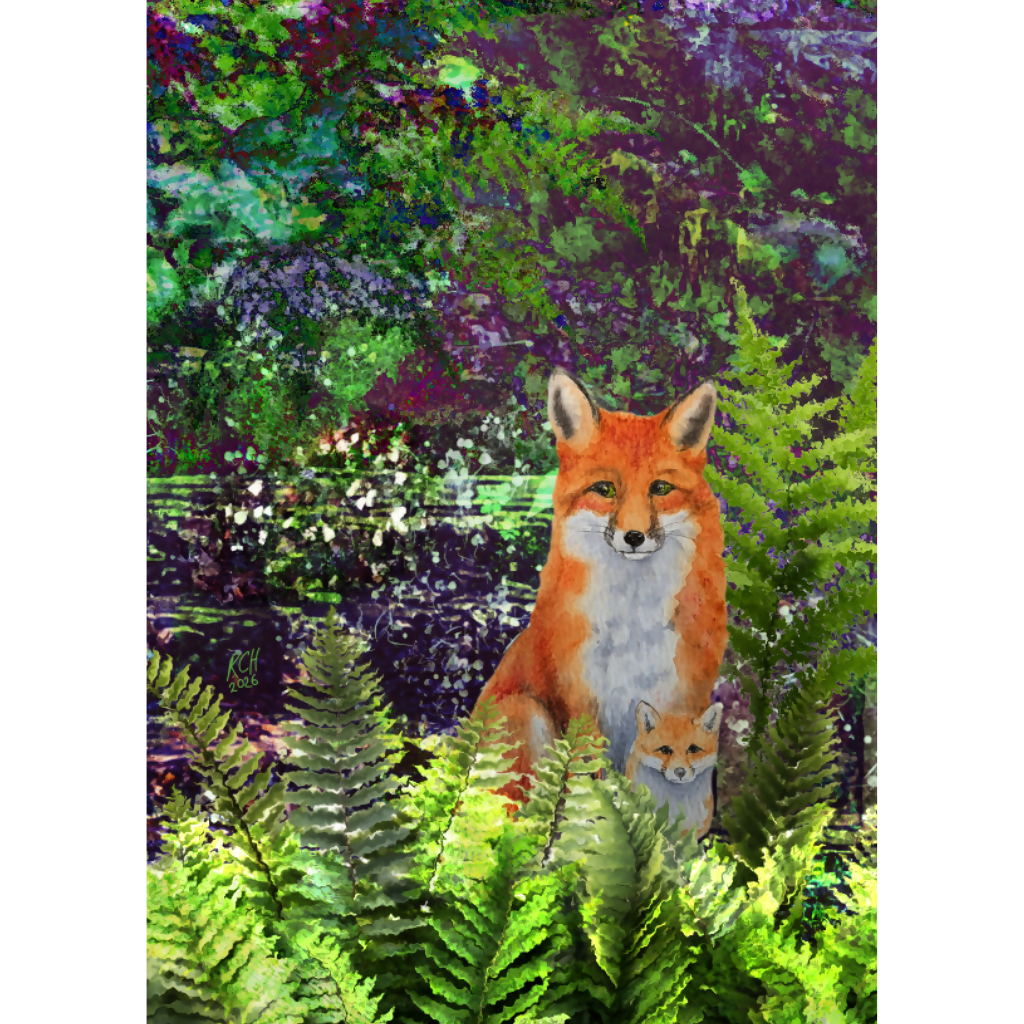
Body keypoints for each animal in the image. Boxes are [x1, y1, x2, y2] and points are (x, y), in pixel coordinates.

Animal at [474, 367, 728, 825]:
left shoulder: (686, 696)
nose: (634, 537)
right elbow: (589, 788)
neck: (633, 616)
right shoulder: (582, 702)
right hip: (525, 712)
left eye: (660, 488)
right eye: (605, 489)